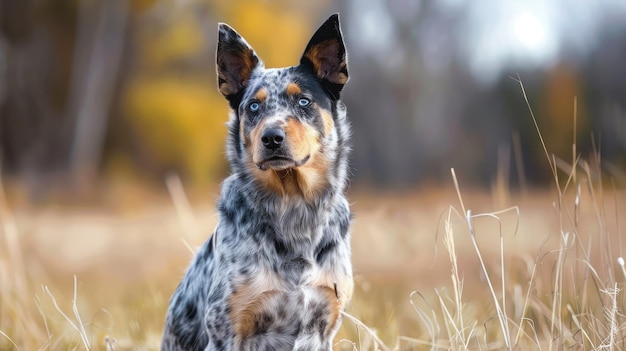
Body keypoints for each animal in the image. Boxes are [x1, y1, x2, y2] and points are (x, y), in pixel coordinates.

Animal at [160, 14, 352, 351]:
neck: (294, 207)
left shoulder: (323, 326)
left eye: (303, 101)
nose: (272, 137)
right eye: (253, 106)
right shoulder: (225, 331)